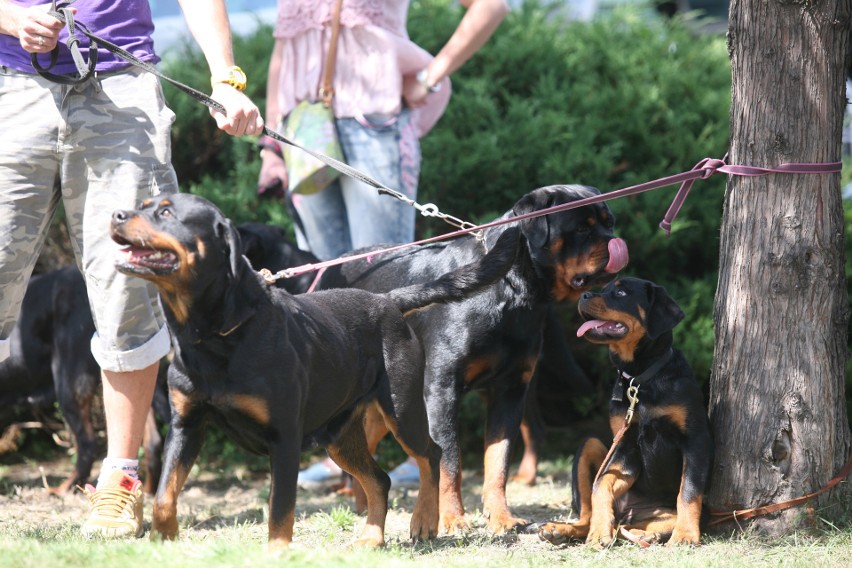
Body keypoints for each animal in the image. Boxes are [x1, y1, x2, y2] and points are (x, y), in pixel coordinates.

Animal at [110, 194, 524, 544]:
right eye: (143, 206)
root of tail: (389, 300)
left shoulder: (284, 436)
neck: (213, 334)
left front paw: (277, 554)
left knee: (431, 455)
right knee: (379, 480)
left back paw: (424, 520)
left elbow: (280, 511)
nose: (116, 215)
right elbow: (165, 493)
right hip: (340, 435)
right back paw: (372, 538)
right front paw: (163, 538)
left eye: (166, 212)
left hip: (403, 409)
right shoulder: (187, 423)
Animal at [316, 183, 628, 532]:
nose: (615, 240)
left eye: (609, 223)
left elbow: (498, 461)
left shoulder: (510, 392)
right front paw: (453, 517)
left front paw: (502, 516)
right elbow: (450, 461)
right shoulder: (442, 390)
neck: (512, 292)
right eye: (582, 228)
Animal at [540, 278, 712, 548]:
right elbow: (601, 484)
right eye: (604, 288)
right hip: (591, 445)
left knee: (641, 524)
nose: (584, 295)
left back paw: (647, 534)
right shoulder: (625, 446)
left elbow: (689, 490)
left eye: (621, 292)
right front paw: (600, 532)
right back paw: (560, 529)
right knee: (588, 515)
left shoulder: (695, 439)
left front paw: (685, 535)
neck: (641, 379)